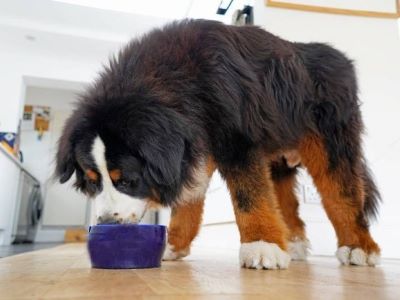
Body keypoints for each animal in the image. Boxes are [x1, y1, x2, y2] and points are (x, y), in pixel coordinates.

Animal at [54, 19, 380, 270]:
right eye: (93, 182)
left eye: (128, 181)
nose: (106, 221)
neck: (175, 80)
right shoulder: (194, 145)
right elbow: (188, 200)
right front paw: (173, 244)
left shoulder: (237, 141)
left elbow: (250, 197)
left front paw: (261, 244)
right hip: (277, 153)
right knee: (285, 201)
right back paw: (294, 243)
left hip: (331, 143)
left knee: (341, 193)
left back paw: (358, 246)